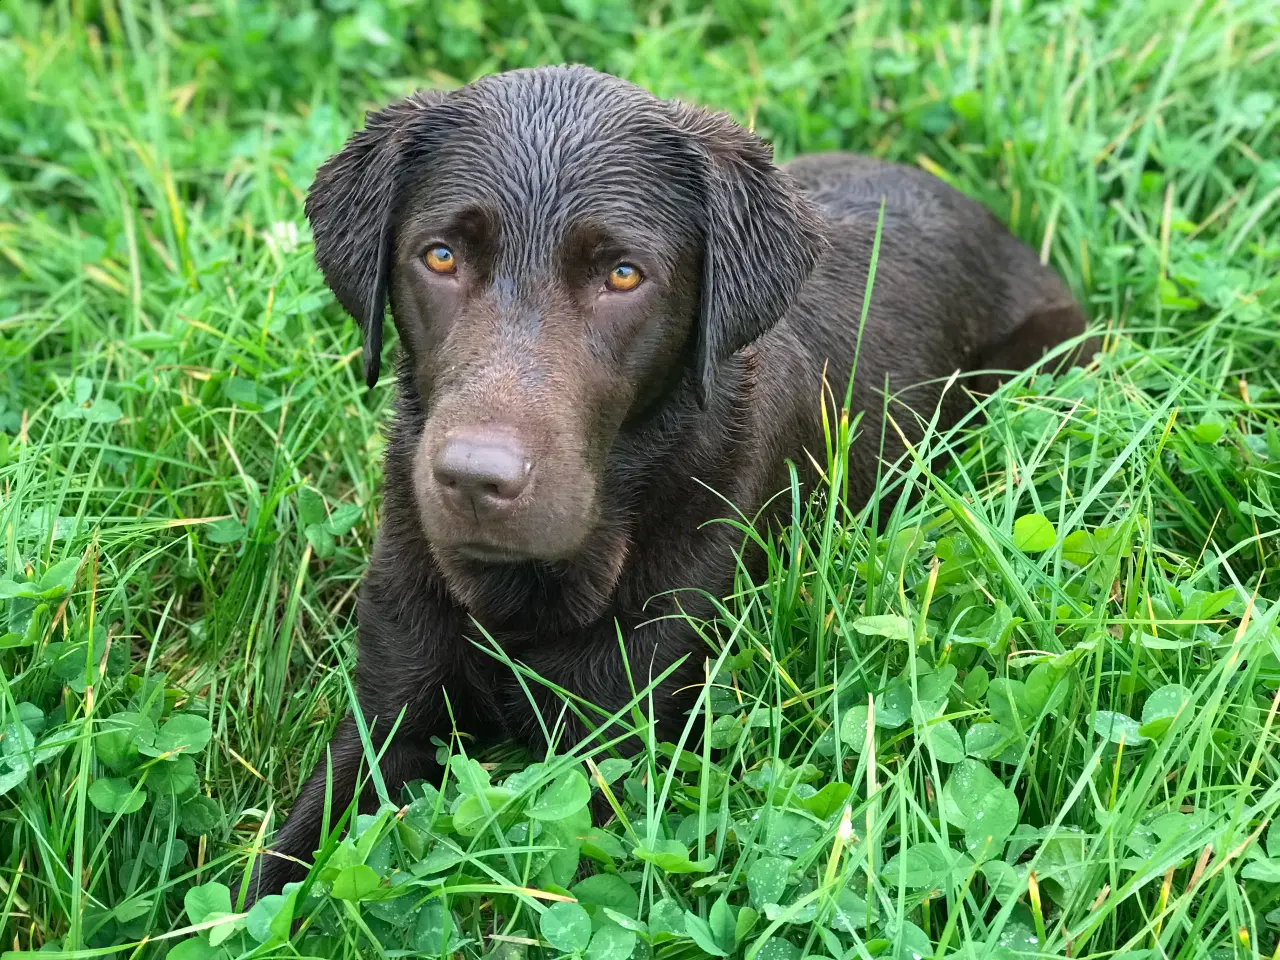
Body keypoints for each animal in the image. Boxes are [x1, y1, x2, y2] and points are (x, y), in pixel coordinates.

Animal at [249, 64, 1090, 901]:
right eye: (441, 257)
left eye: (623, 275)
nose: (475, 480)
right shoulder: (386, 707)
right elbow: (275, 873)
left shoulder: (618, 745)